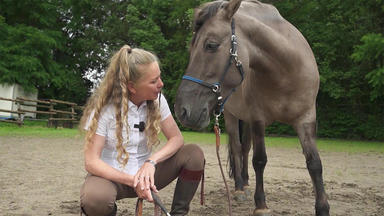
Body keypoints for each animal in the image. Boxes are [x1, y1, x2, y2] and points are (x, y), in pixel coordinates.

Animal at [176, 0, 332, 216]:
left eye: (211, 45)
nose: (182, 110)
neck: (285, 71)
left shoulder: (306, 118)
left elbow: (314, 163)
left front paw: (322, 207)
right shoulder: (259, 118)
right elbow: (260, 160)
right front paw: (261, 205)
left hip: (247, 120)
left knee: (244, 149)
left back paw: (246, 184)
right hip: (232, 116)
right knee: (236, 147)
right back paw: (239, 189)